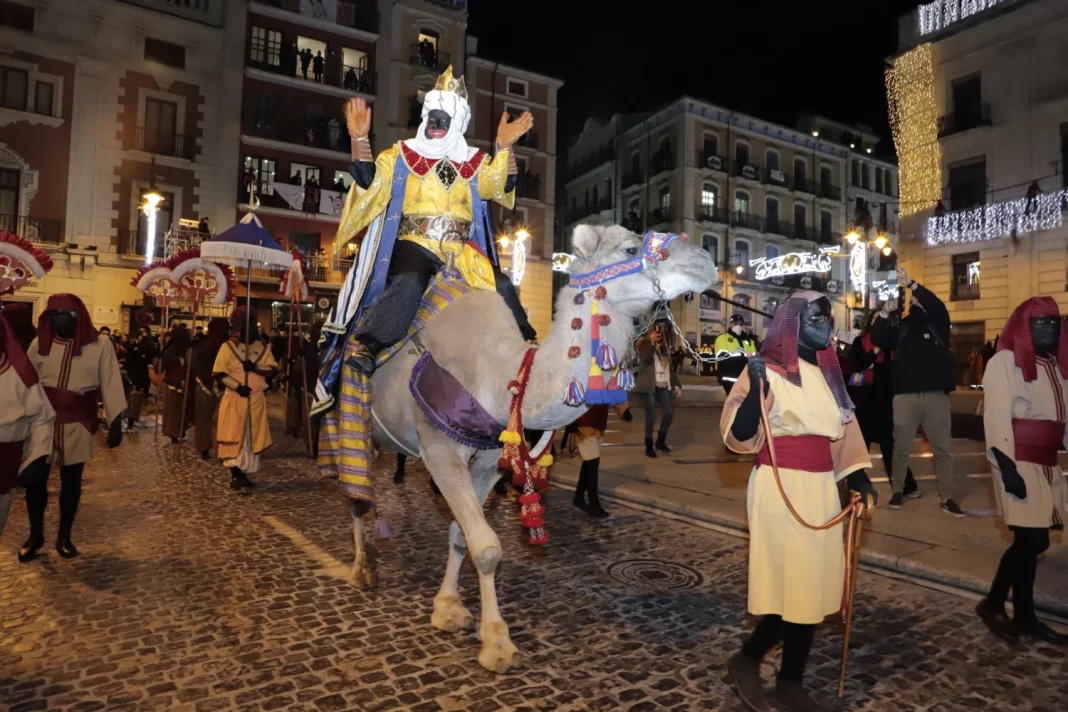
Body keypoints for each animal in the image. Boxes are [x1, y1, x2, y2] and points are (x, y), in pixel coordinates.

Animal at [350, 224, 717, 674]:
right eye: (632, 248)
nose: (704, 261)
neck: (500, 375)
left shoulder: (489, 459)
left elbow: (462, 535)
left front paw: (449, 607)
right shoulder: (439, 449)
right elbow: (487, 547)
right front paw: (497, 643)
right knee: (355, 492)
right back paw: (362, 568)